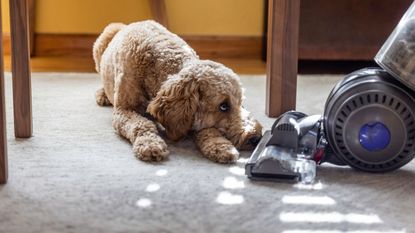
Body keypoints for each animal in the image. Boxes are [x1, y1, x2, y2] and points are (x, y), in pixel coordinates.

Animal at [94, 20, 264, 163]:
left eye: (241, 102)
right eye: (223, 106)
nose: (257, 138)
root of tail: (127, 24)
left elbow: (207, 130)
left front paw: (220, 146)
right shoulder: (123, 110)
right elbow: (141, 124)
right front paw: (150, 143)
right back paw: (103, 94)